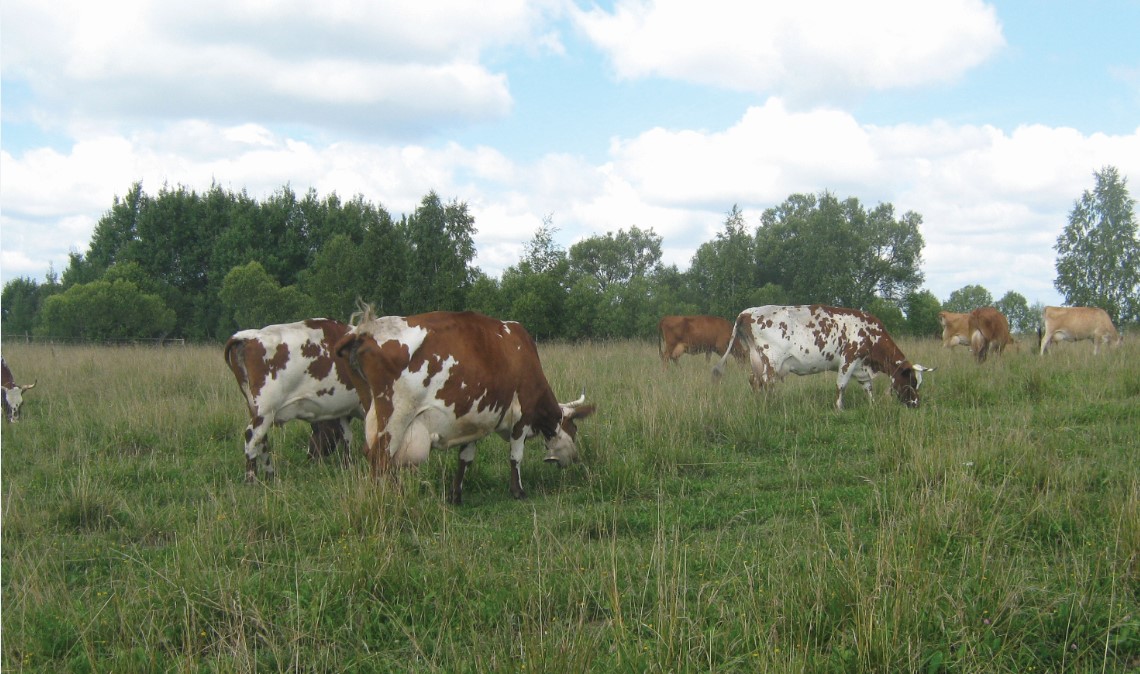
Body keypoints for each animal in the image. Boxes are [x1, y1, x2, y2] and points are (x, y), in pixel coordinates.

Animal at [222, 319, 360, 483]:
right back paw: (252, 480)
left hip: (255, 407)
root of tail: (249, 336)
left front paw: (348, 466)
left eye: (315, 429)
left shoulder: (342, 410)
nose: (310, 455)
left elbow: (347, 436)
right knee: (252, 436)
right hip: (265, 409)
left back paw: (271, 476)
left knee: (262, 440)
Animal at [332, 307, 597, 504]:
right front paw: (518, 491)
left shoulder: (474, 421)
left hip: (372, 412)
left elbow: (465, 459)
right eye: (574, 429)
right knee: (380, 458)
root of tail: (364, 330)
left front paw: (455, 495)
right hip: (395, 417)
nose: (575, 459)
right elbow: (516, 456)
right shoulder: (522, 417)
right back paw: (391, 500)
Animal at [711, 307, 934, 410]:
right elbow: (841, 385)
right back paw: (772, 405)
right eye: (911, 380)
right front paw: (839, 408)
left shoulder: (861, 366)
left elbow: (868, 386)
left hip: (756, 358)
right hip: (771, 359)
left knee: (754, 380)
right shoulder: (848, 359)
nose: (916, 404)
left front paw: (872, 405)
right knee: (767, 381)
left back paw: (759, 403)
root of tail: (748, 312)